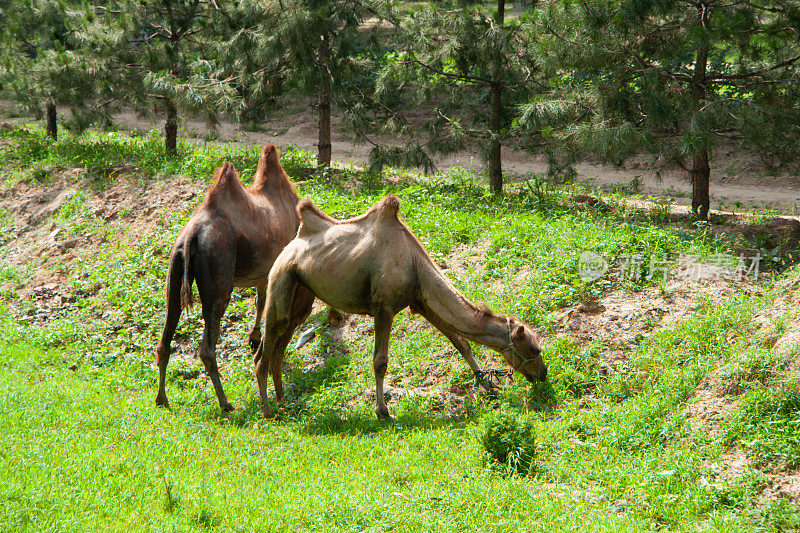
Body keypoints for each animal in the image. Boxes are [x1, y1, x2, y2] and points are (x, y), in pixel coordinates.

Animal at [155, 145, 310, 412]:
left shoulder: (264, 271)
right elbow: (264, 302)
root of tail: (191, 236)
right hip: (219, 279)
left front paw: (254, 338)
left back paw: (162, 399)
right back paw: (226, 403)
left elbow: (260, 301)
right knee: (207, 347)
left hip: (174, 271)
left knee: (165, 339)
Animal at [256, 193, 552, 418]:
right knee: (266, 346)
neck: (414, 264)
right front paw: (382, 411)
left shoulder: (421, 302)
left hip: (302, 292)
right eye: (534, 349)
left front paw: (486, 383)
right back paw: (268, 412)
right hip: (281, 277)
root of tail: (294, 241)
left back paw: (283, 401)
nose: (543, 374)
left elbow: (461, 342)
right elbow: (380, 361)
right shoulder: (384, 307)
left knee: (281, 345)